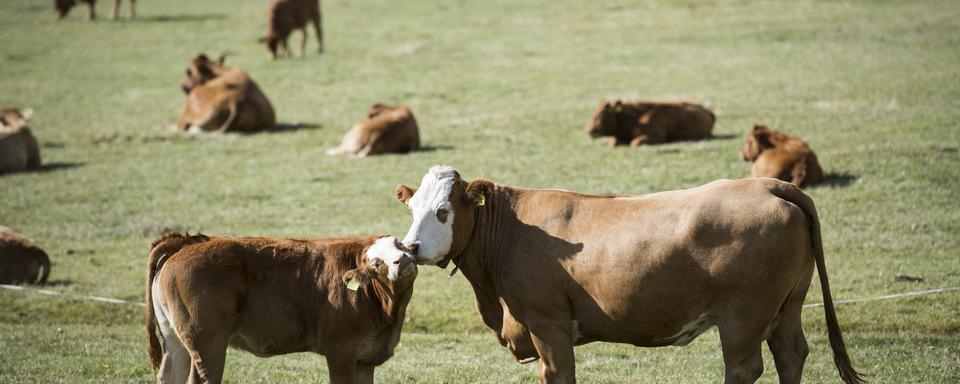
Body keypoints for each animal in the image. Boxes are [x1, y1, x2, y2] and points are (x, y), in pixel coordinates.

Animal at [146, 234, 416, 384]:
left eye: (400, 245)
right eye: (376, 263)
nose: (402, 260)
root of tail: (186, 243)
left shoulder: (364, 360)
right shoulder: (341, 353)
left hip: (175, 340)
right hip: (207, 346)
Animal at [394, 166, 868, 384]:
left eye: (443, 210)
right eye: (412, 207)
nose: (410, 248)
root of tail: (769, 184)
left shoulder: (548, 324)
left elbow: (558, 373)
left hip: (744, 315)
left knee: (743, 366)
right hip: (787, 306)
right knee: (791, 353)